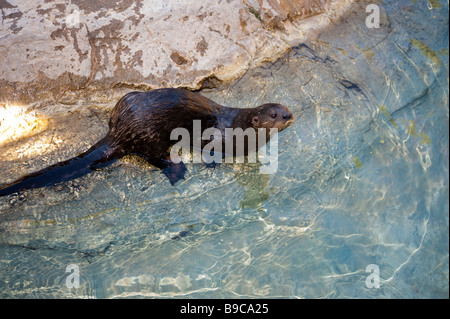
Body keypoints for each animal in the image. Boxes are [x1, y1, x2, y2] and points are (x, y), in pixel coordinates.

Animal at [0, 88, 296, 198]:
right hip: (150, 136)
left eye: (284, 108)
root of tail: (120, 130)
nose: (288, 116)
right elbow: (207, 148)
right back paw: (177, 170)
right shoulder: (212, 135)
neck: (237, 128)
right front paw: (212, 164)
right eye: (273, 115)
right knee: (155, 157)